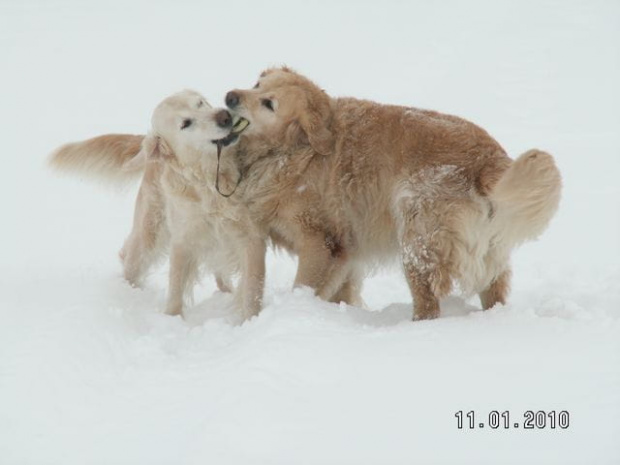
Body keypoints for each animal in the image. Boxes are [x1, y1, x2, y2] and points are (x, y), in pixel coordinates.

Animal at [50, 89, 264, 318]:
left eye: (200, 103)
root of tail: (149, 144)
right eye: (186, 123)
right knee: (130, 260)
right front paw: (173, 319)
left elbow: (252, 289)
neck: (208, 180)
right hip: (149, 233)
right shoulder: (183, 240)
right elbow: (176, 288)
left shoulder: (249, 236)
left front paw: (250, 319)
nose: (224, 116)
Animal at [224, 66, 560, 320]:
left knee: (428, 305)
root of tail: (489, 159)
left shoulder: (323, 244)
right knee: (494, 293)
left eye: (269, 104)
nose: (230, 96)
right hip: (489, 251)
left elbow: (305, 287)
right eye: (257, 84)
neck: (293, 148)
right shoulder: (345, 253)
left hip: (416, 236)